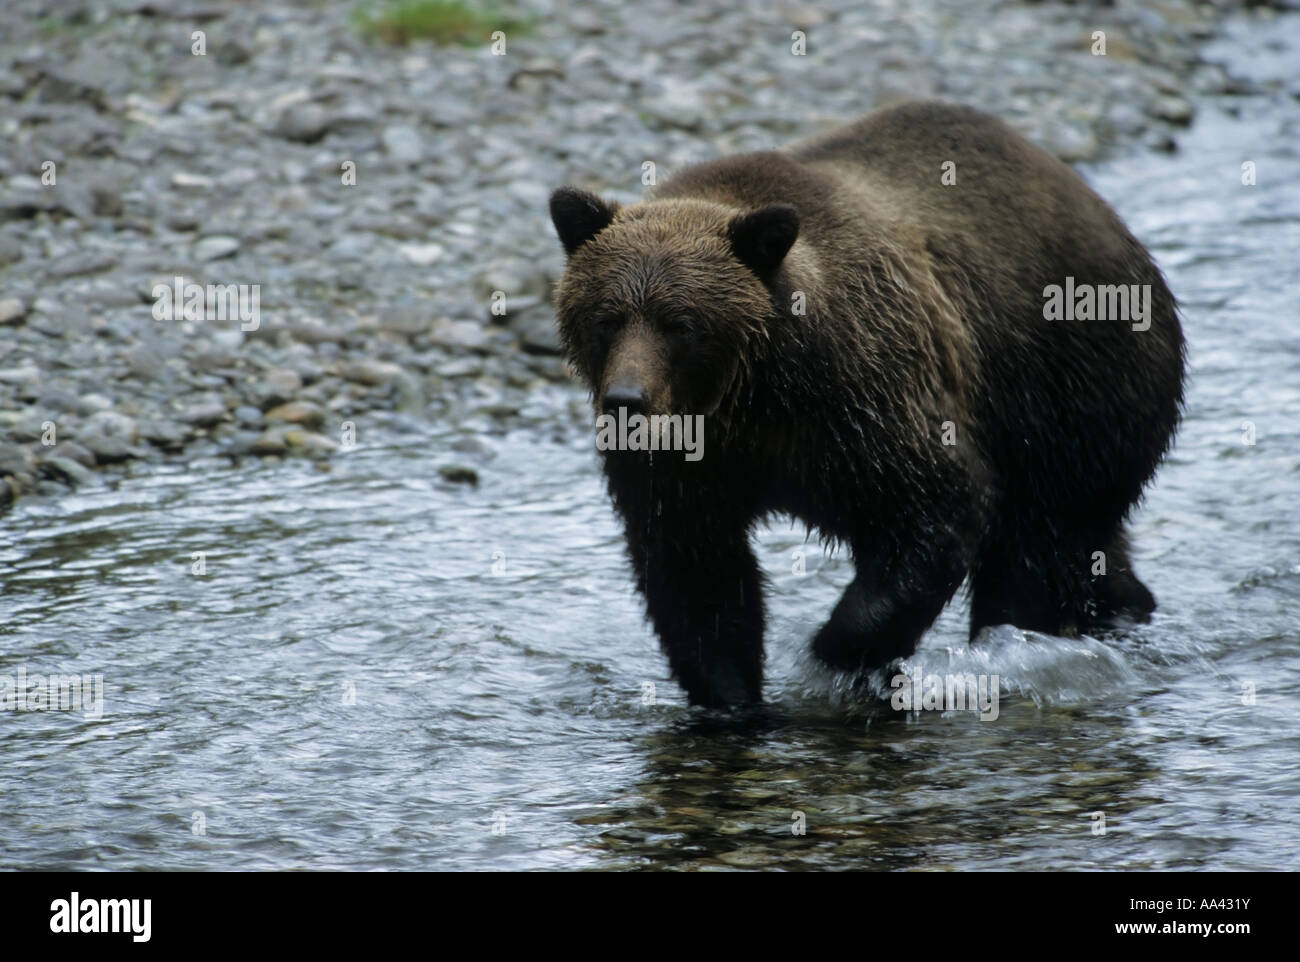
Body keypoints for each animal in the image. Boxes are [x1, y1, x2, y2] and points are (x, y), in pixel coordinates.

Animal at [548, 100, 1185, 709]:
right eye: (606, 318)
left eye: (681, 324)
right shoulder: (687, 464)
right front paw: (732, 698)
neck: (755, 398)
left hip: (1070, 386)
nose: (627, 401)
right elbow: (695, 568)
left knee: (1039, 543)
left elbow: (936, 508)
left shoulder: (868, 397)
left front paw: (833, 656)